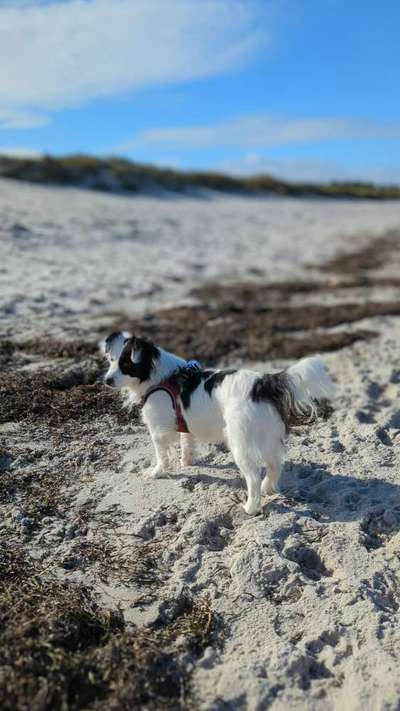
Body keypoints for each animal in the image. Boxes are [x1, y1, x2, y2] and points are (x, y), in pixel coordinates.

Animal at [103, 334, 334, 516]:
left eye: (126, 365)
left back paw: (250, 508)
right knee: (274, 465)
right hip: (268, 436)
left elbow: (162, 454)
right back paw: (268, 488)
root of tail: (264, 383)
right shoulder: (183, 423)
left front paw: (157, 472)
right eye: (111, 361)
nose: (106, 381)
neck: (159, 376)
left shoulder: (158, 429)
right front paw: (186, 462)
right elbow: (186, 441)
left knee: (253, 478)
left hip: (240, 443)